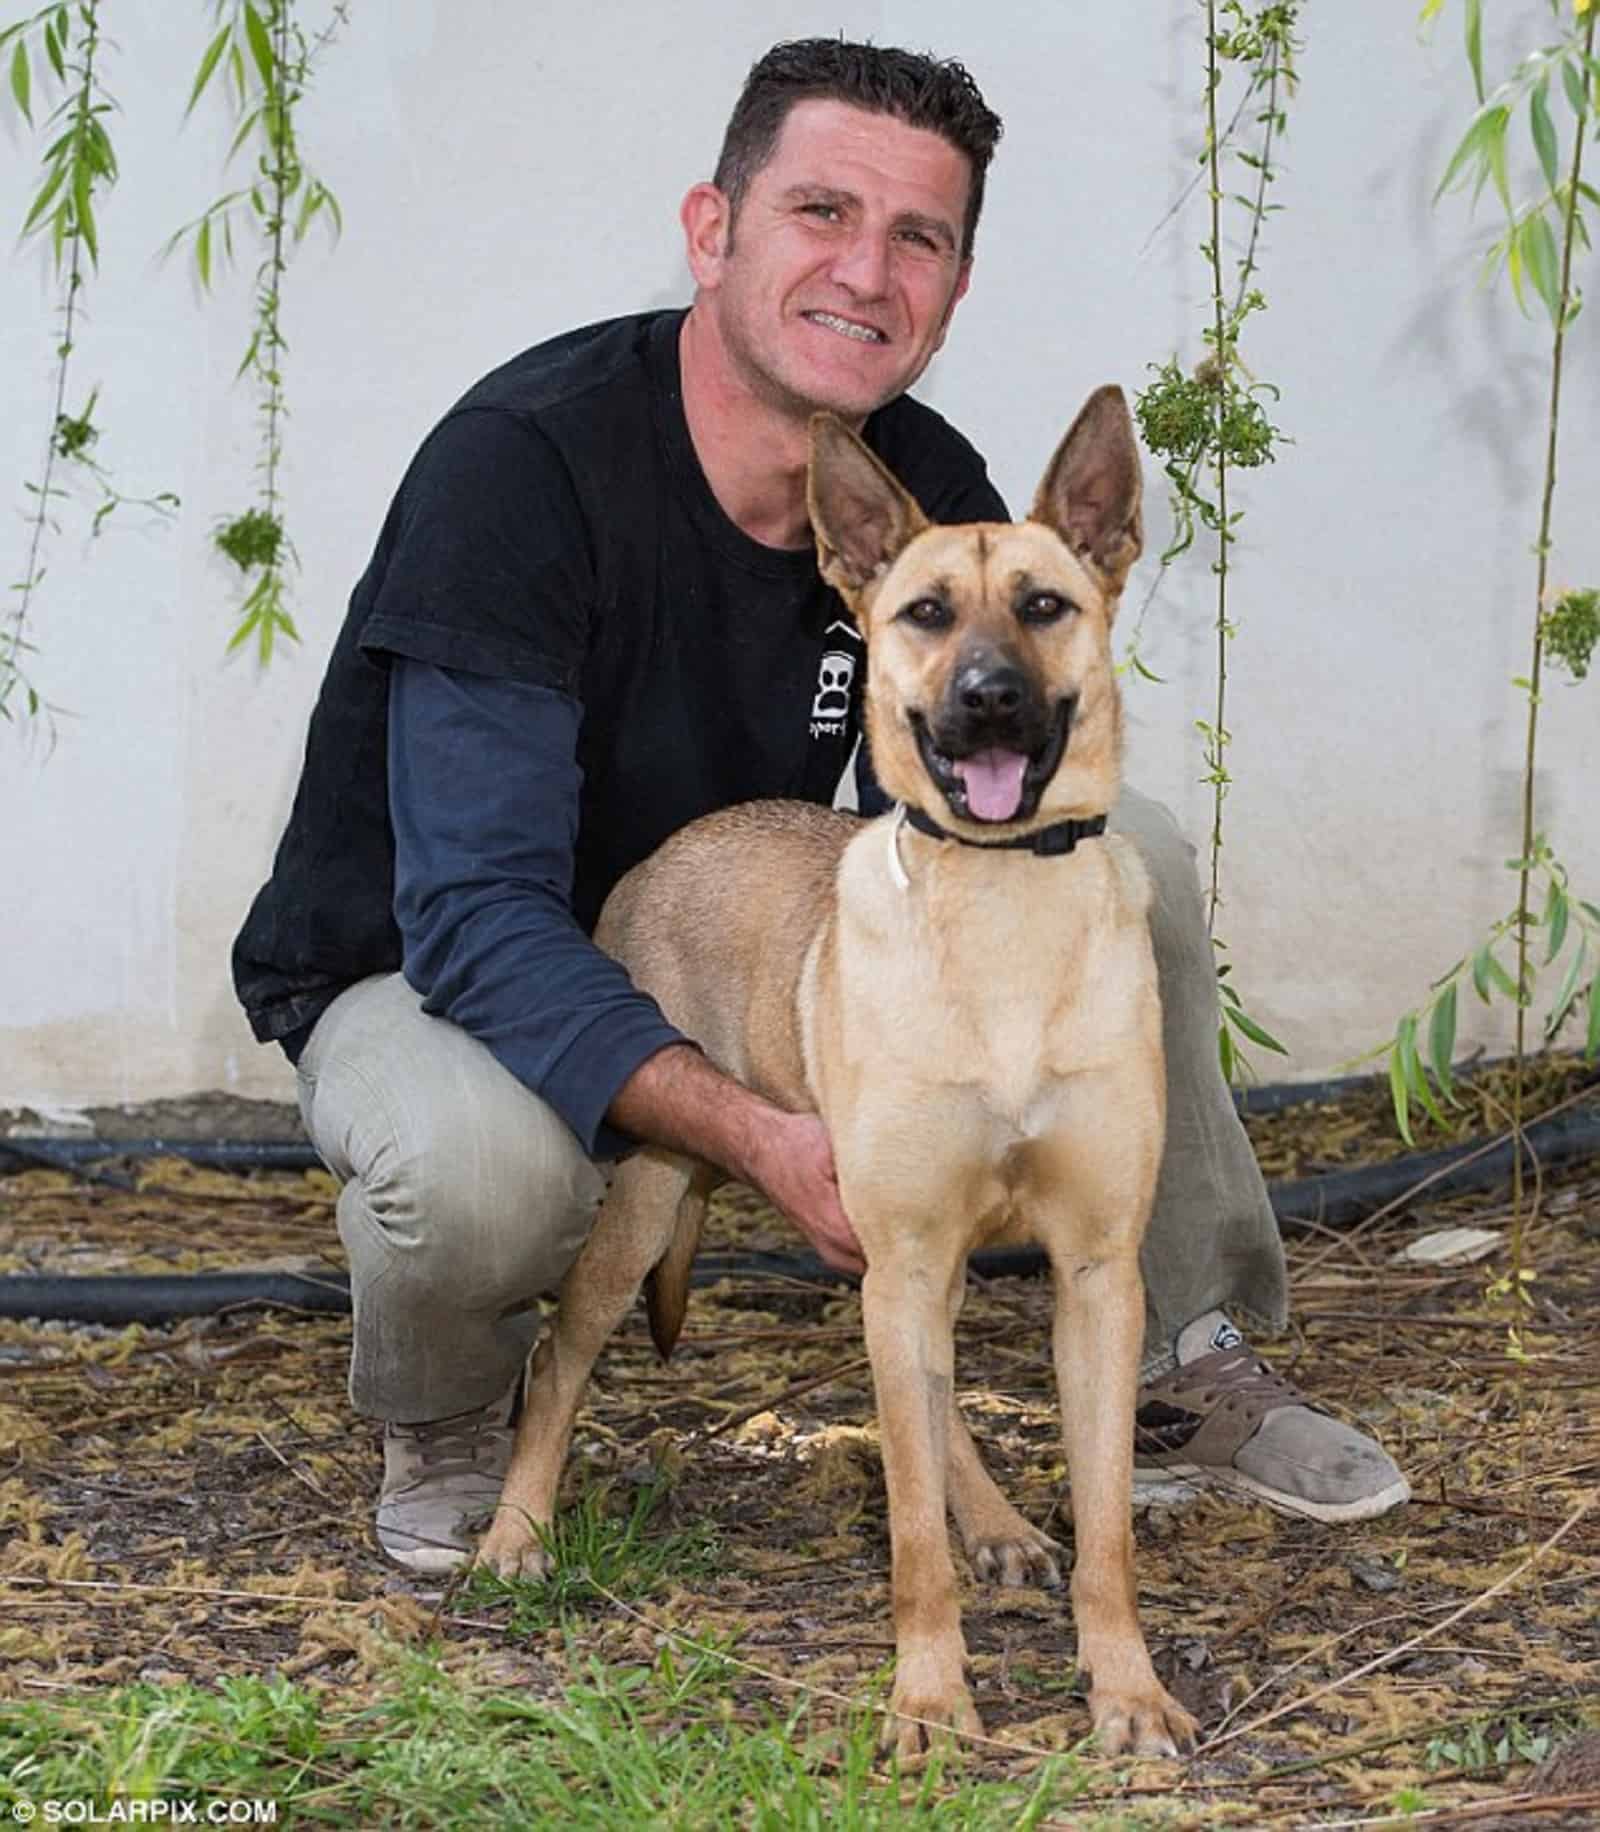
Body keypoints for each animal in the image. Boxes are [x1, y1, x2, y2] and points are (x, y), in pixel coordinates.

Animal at [480, 382, 1194, 1758]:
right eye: (924, 613)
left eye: (1043, 605)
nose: (987, 697)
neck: (1002, 905)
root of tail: (669, 848)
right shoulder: (903, 1250)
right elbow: (907, 1528)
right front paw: (927, 1696)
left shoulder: (1093, 1275)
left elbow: (1107, 1524)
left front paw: (1124, 1687)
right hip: (651, 1195)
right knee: (557, 1356)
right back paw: (512, 1533)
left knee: (936, 1391)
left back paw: (996, 1520)